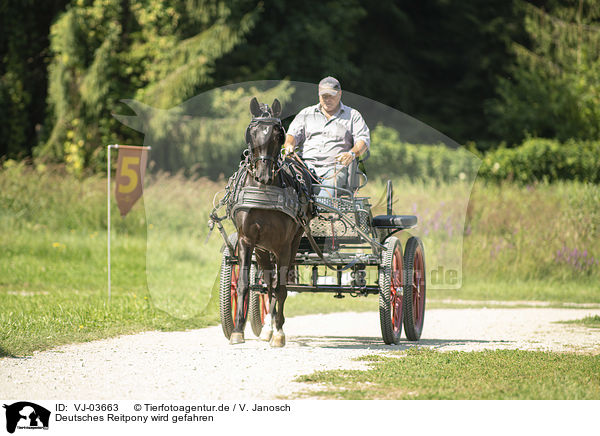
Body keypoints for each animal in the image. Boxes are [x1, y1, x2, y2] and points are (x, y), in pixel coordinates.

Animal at [230, 96, 312, 348]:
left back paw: (274, 327)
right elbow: (245, 284)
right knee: (268, 282)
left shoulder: (284, 245)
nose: (264, 175)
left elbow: (282, 288)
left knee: (277, 284)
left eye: (278, 134)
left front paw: (279, 332)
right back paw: (266, 327)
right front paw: (237, 331)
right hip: (263, 249)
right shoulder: (247, 241)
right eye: (252, 133)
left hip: (290, 244)